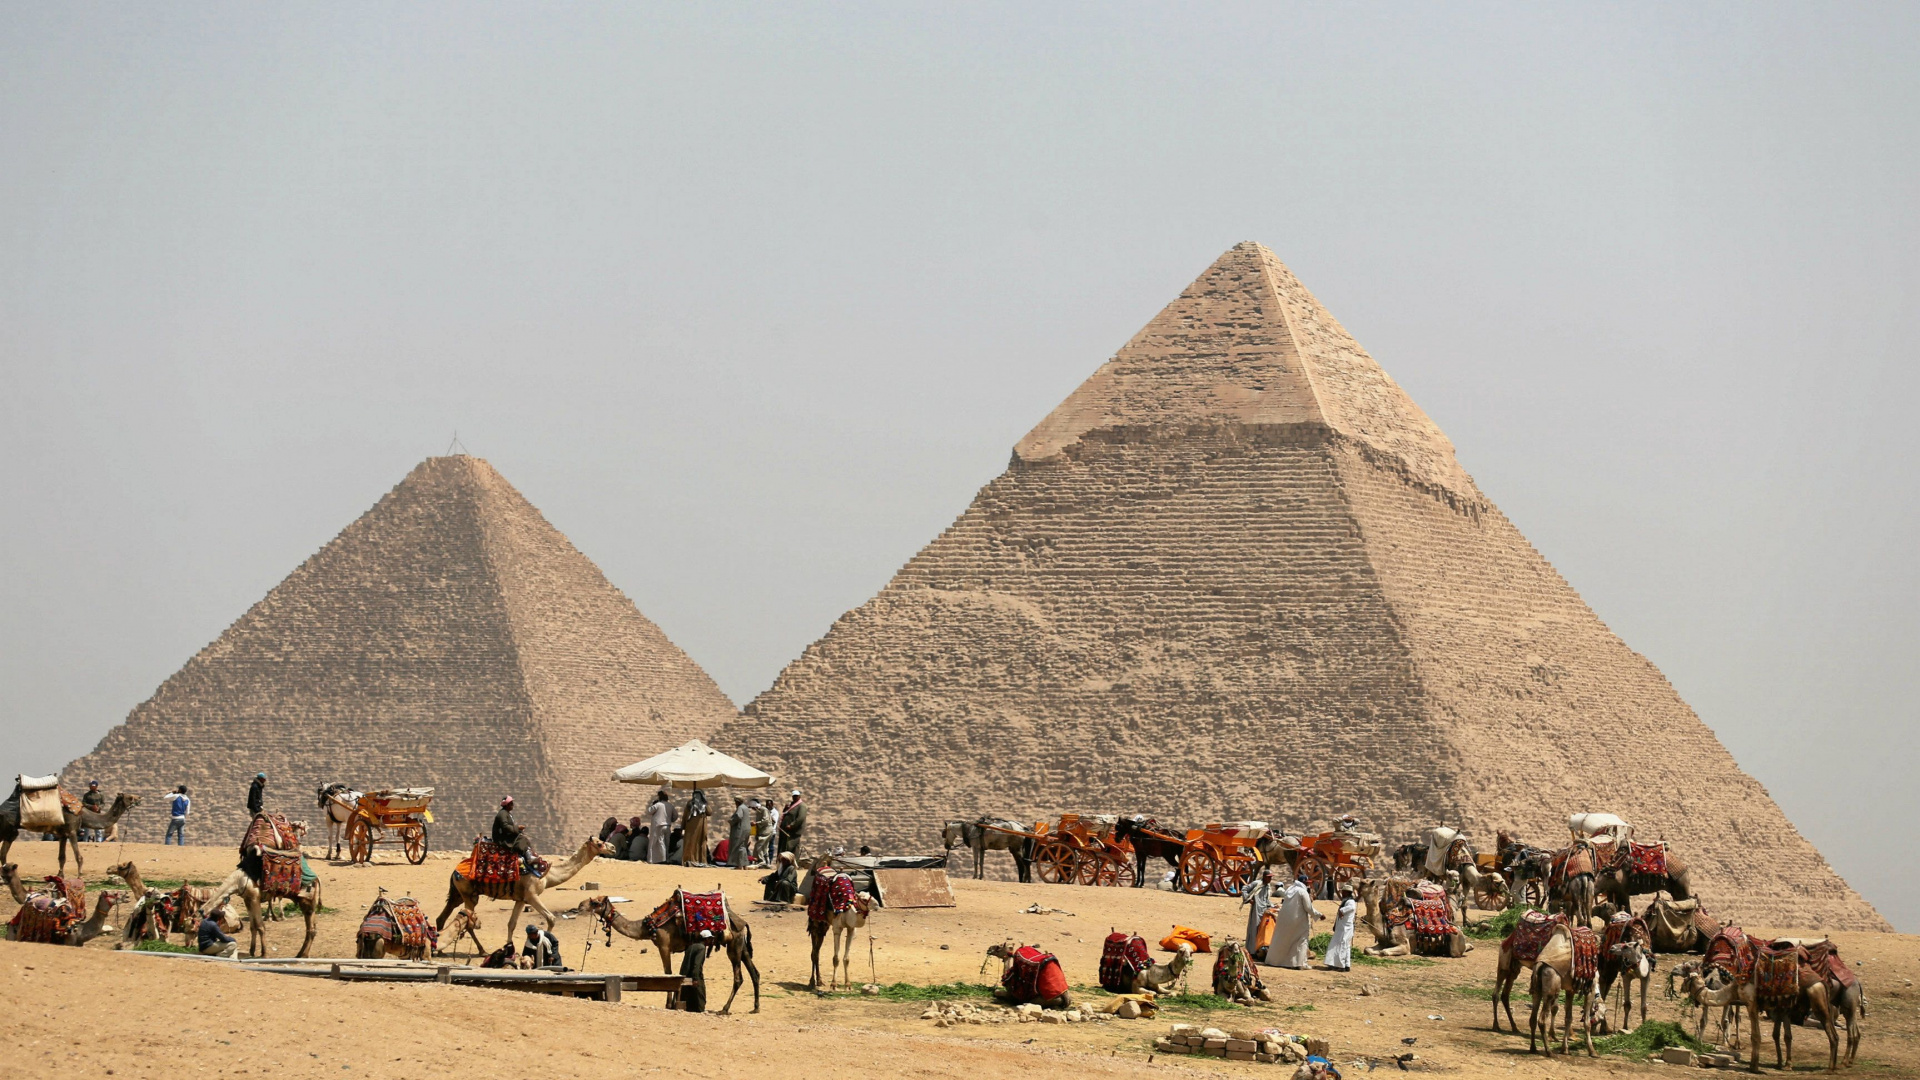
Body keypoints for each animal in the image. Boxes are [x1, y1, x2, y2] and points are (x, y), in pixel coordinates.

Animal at [579, 891, 760, 1006]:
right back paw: (755, 1007)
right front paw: (673, 1002)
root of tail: (743, 922)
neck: (648, 926)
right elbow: (677, 973)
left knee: (738, 977)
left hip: (733, 946)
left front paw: (669, 1004)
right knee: (754, 973)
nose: (580, 905)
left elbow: (668, 973)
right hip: (741, 945)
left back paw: (724, 1009)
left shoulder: (664, 945)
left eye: (595, 902)